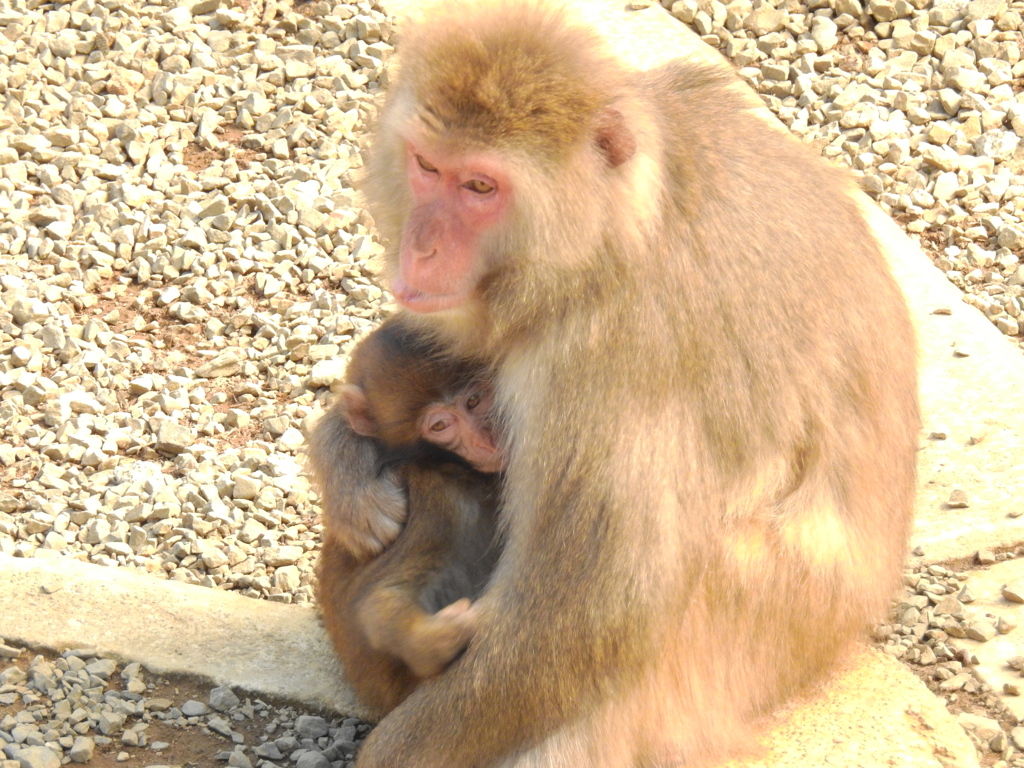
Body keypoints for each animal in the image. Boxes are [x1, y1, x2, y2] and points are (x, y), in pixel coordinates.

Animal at [311, 313, 503, 720]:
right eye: (440, 425)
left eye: (474, 400)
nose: (487, 439)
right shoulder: (439, 502)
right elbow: (382, 601)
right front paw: (432, 640)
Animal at [344, 1, 921, 765]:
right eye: (427, 166)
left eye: (480, 187)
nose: (421, 248)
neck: (612, 240)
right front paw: (347, 472)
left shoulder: (611, 357)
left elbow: (595, 618)